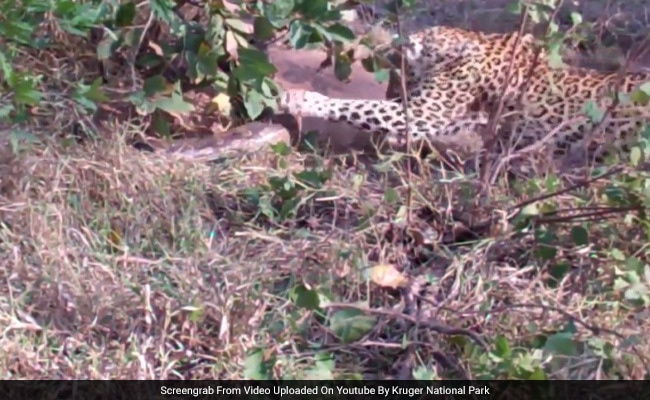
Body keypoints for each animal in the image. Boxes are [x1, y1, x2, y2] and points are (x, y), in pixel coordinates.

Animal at [276, 25, 648, 167]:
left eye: (397, 82)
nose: (394, 92)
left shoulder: (428, 111)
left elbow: (358, 105)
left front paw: (300, 99)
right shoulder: (462, 118)